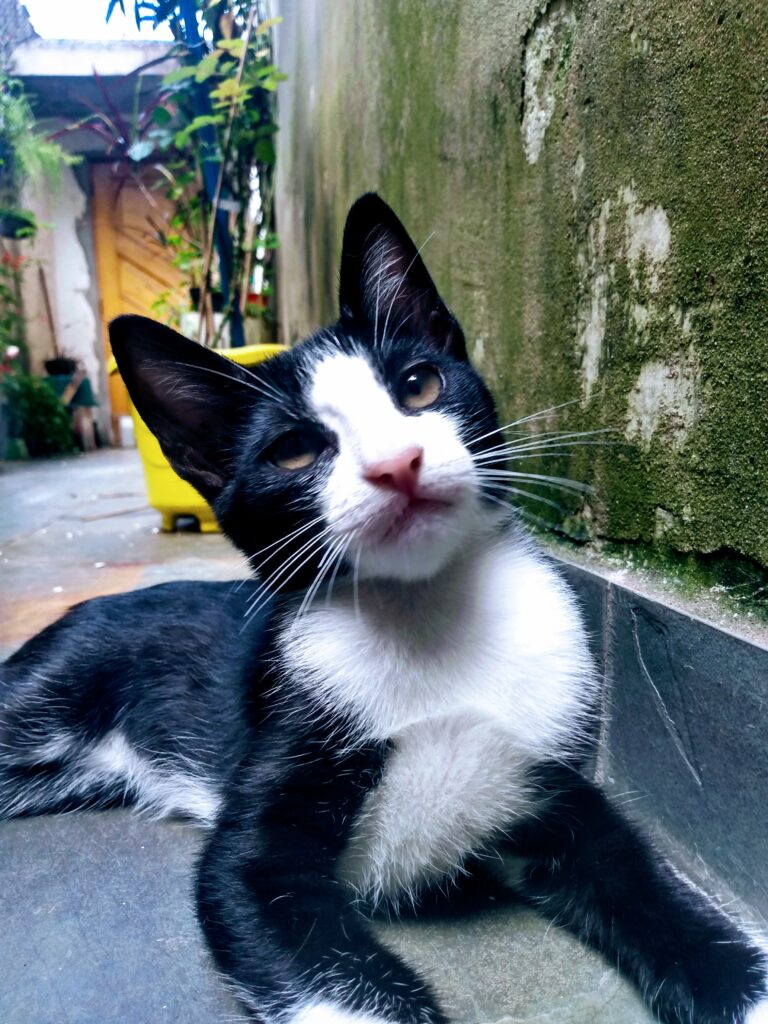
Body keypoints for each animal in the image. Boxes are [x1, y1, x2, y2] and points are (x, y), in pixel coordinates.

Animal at [1, 192, 768, 1024]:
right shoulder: (259, 851)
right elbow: (284, 919)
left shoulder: (555, 780)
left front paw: (738, 983)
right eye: (294, 452)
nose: (397, 464)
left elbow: (642, 878)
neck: (428, 619)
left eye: (420, 385)